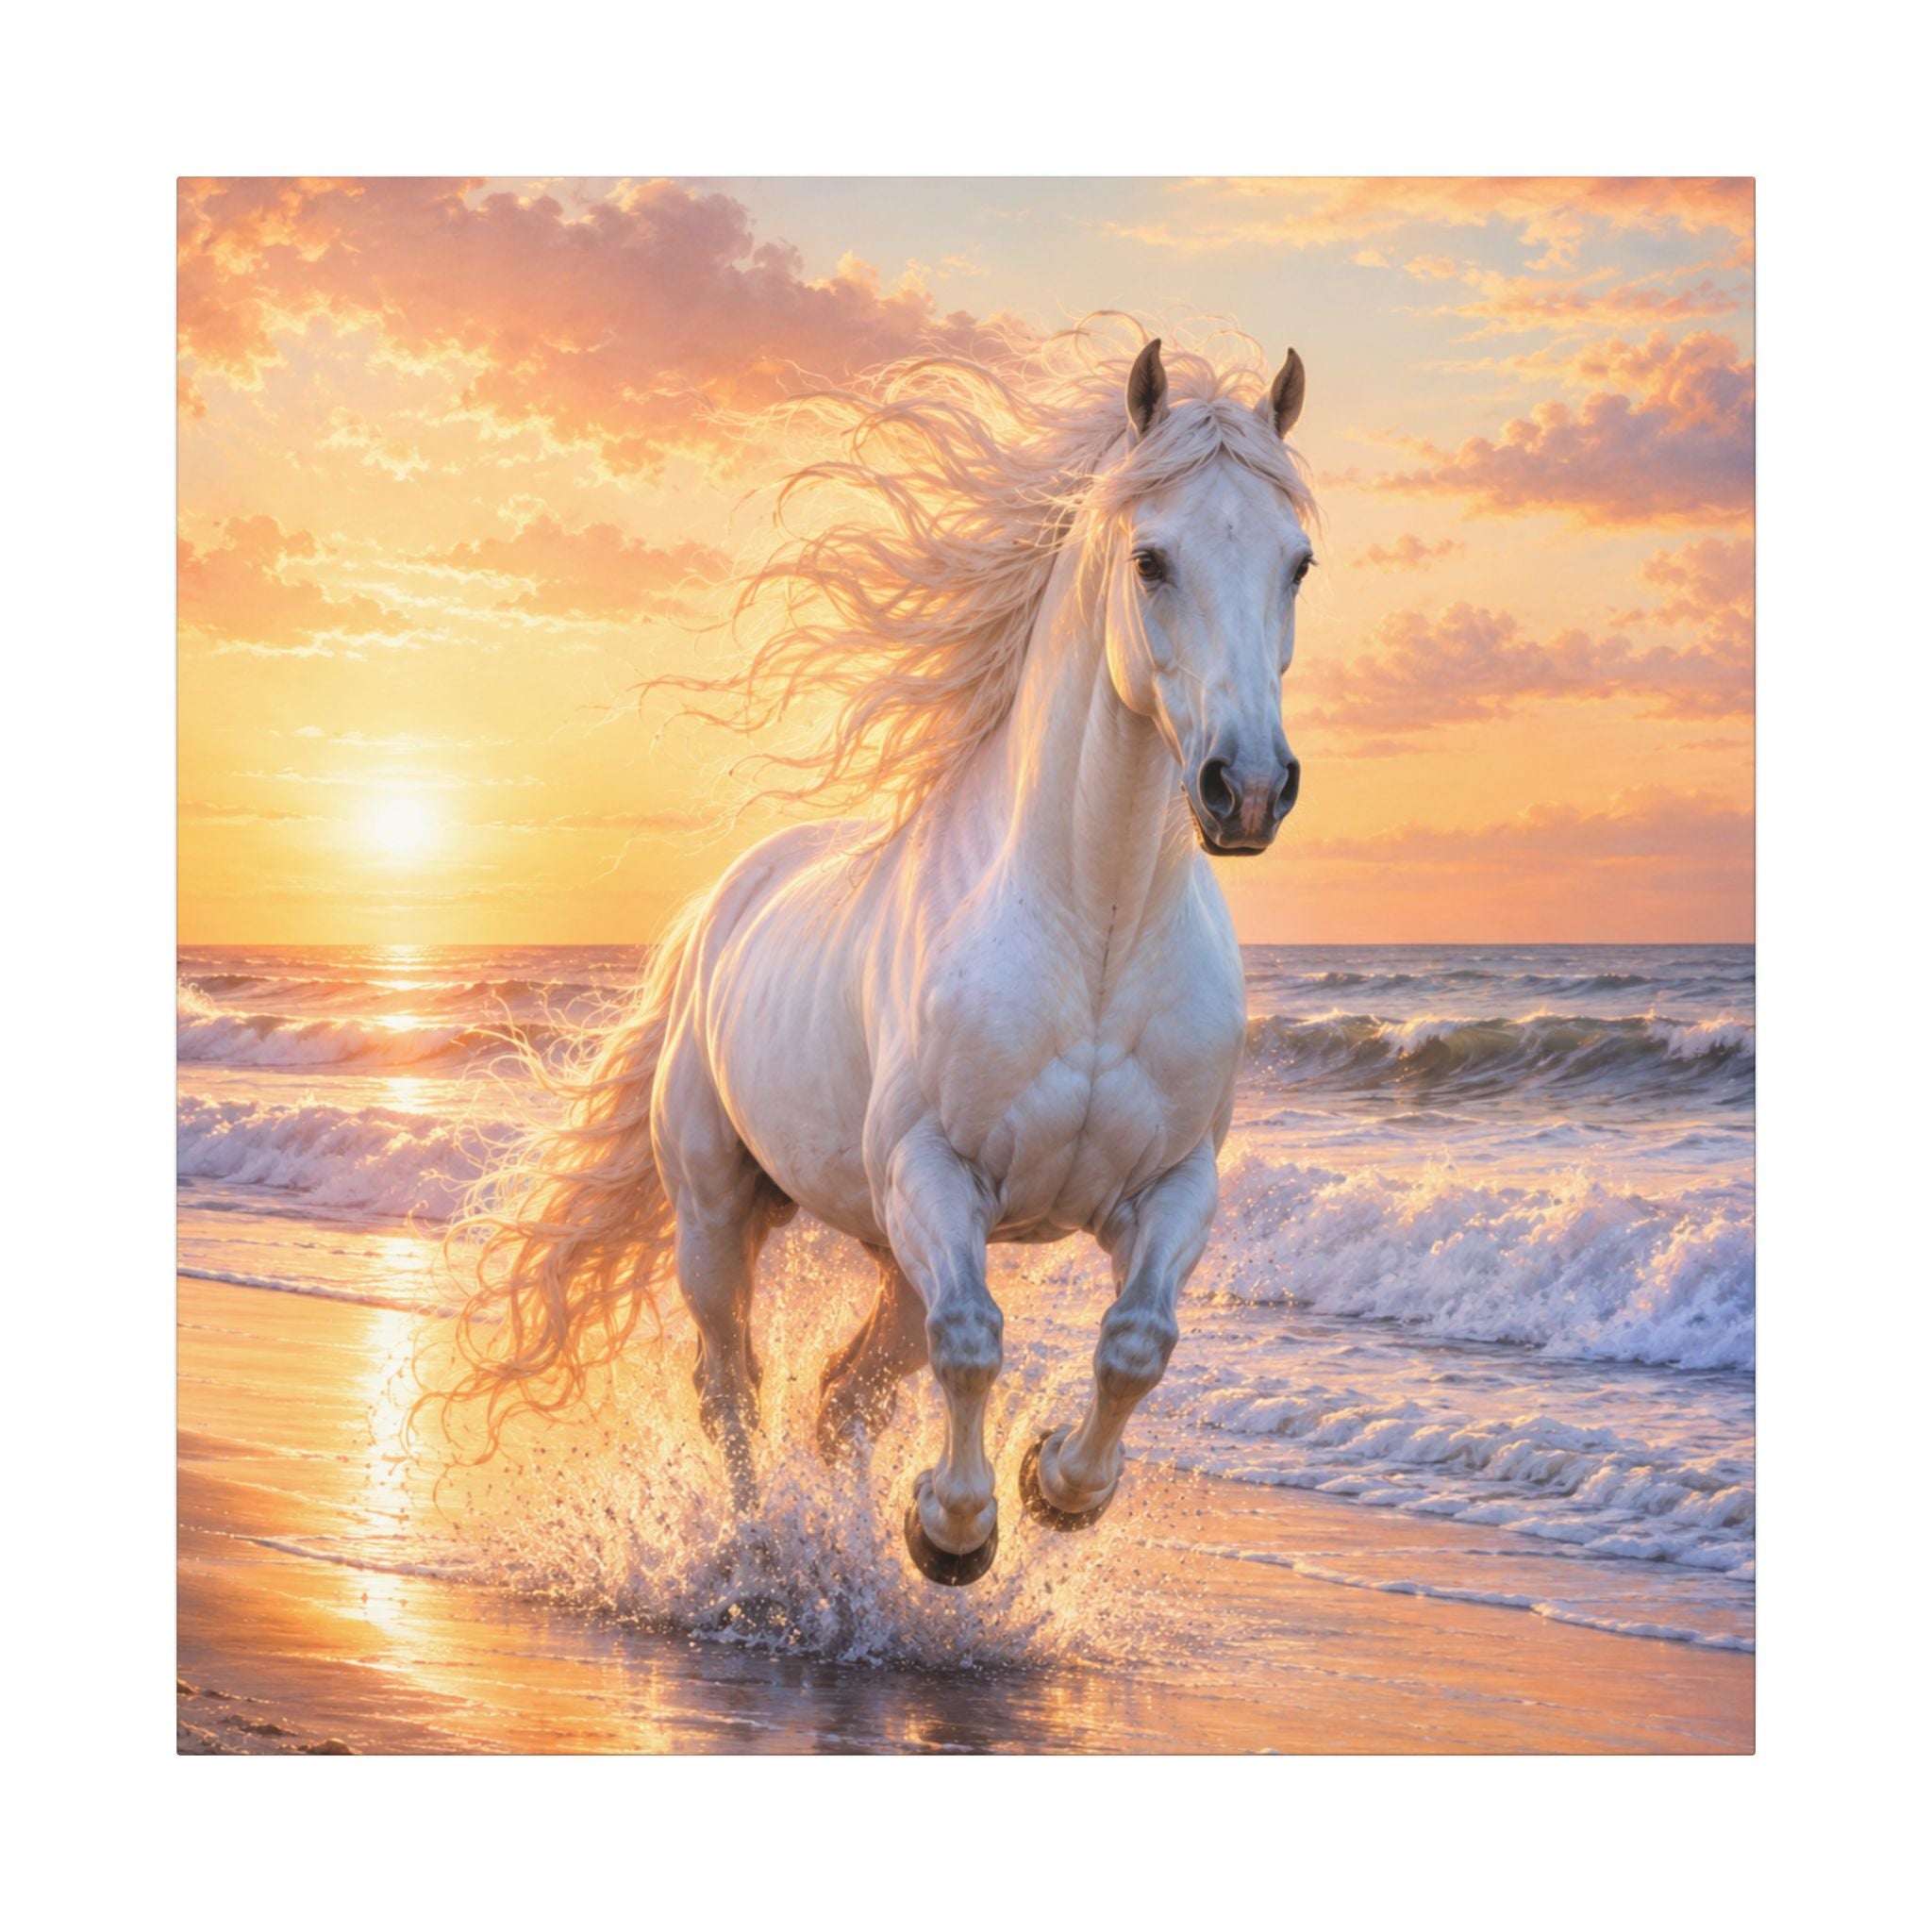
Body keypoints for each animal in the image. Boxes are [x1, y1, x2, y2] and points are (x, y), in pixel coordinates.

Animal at [439, 324, 1317, 1586]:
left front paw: (1054, 1485)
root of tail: (718, 907)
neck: (1093, 936)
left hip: (888, 1247)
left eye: (1296, 562)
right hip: (721, 1210)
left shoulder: (1168, 1184)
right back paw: (760, 1553)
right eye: (1151, 560)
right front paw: (951, 1528)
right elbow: (971, 1344)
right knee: (735, 1385)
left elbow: (1135, 1342)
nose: (1244, 788)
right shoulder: (932, 1173)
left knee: (840, 1398)